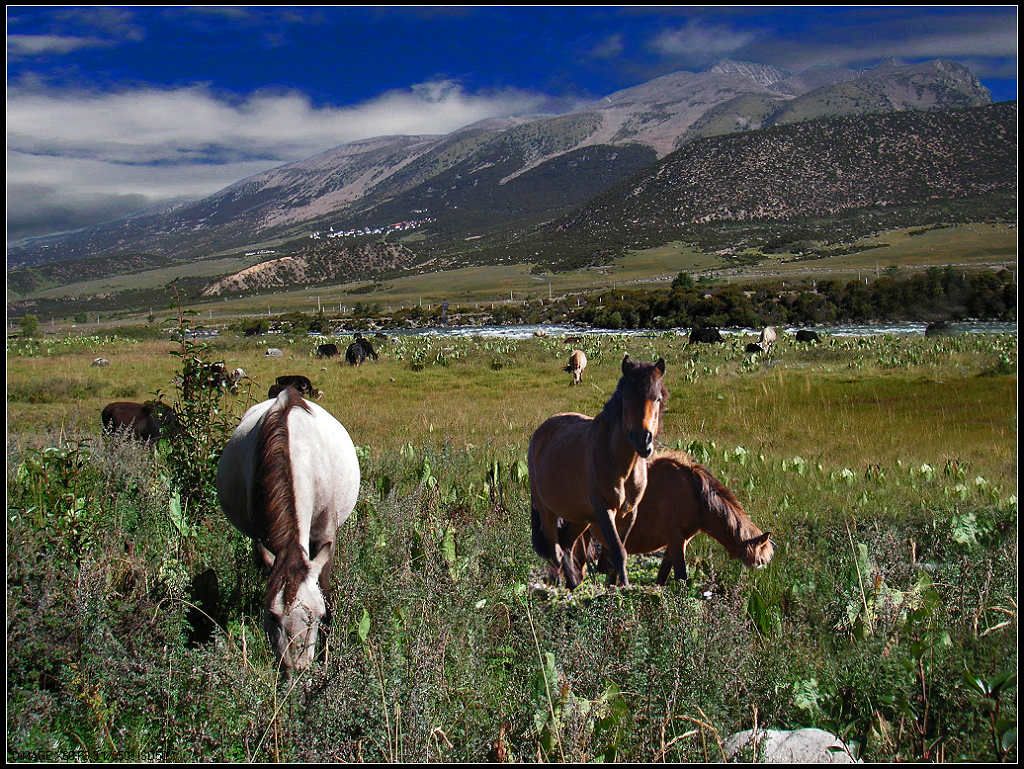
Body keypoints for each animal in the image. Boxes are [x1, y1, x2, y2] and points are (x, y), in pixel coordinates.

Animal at [216, 387, 360, 671]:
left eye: (319, 615)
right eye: (272, 616)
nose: (297, 669)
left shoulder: (325, 534)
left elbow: (324, 587)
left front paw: (326, 656)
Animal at [528, 354, 671, 589]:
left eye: (658, 398)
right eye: (627, 398)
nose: (643, 441)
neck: (621, 464)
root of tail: (540, 433)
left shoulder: (629, 513)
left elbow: (616, 552)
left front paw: (614, 586)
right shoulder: (605, 511)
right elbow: (618, 551)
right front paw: (623, 588)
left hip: (580, 517)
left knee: (566, 545)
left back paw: (574, 585)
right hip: (547, 511)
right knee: (556, 552)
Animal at [569, 450, 774, 581]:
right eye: (761, 561)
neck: (695, 495)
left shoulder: (675, 543)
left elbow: (661, 579)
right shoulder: (676, 541)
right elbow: (681, 578)